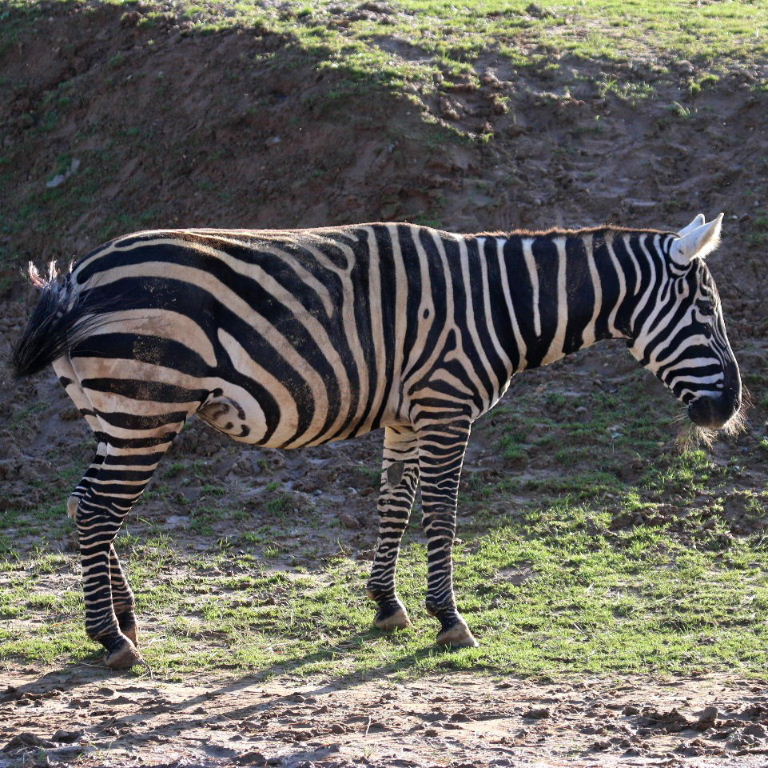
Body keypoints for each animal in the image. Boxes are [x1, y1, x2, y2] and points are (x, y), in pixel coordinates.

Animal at [12, 213, 741, 670]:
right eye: (705, 312)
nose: (731, 407)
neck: (499, 301)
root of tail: (79, 274)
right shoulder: (447, 405)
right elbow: (442, 512)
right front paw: (450, 620)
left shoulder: (405, 415)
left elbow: (394, 504)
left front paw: (387, 606)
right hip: (146, 405)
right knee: (99, 509)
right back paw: (112, 640)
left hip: (113, 413)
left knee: (84, 505)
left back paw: (125, 618)